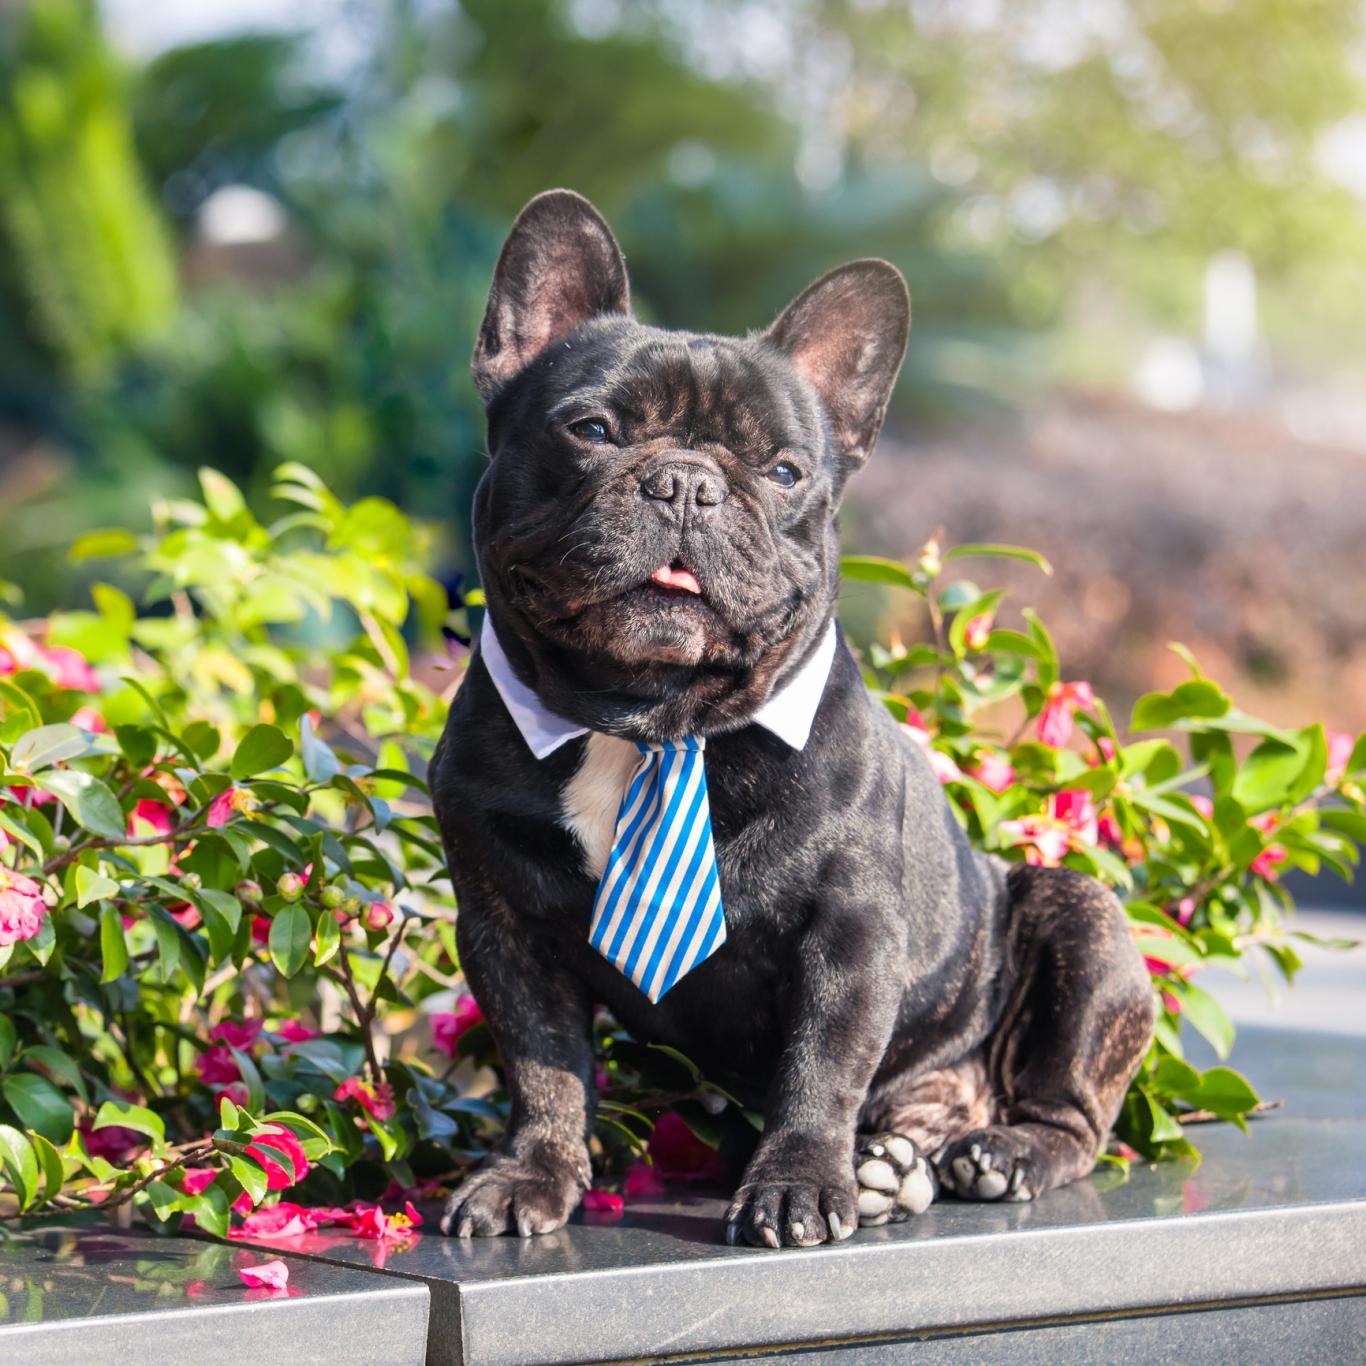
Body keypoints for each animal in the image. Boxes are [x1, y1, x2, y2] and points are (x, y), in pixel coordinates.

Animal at [428, 192, 1152, 1251]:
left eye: (782, 470)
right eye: (592, 428)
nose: (687, 481)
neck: (648, 719)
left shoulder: (847, 933)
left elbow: (821, 1064)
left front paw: (799, 1184)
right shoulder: (504, 923)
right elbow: (543, 1064)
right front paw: (533, 1173)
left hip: (1080, 918)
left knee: (1073, 1113)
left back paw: (998, 1152)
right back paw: (891, 1166)